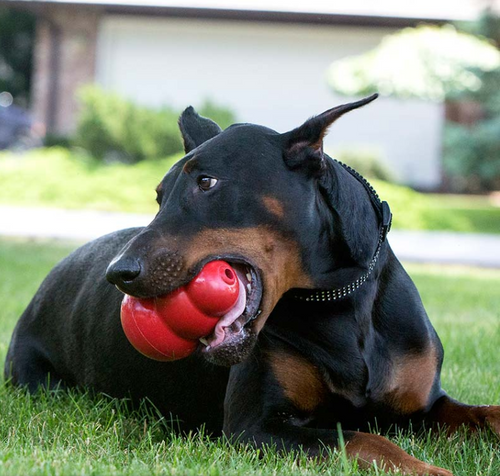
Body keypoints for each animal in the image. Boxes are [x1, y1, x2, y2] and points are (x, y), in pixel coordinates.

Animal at [4, 95, 500, 474]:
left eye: (207, 182)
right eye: (160, 196)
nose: (118, 273)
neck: (341, 301)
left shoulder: (424, 405)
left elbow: (482, 413)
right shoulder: (255, 427)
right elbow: (362, 438)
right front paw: (432, 470)